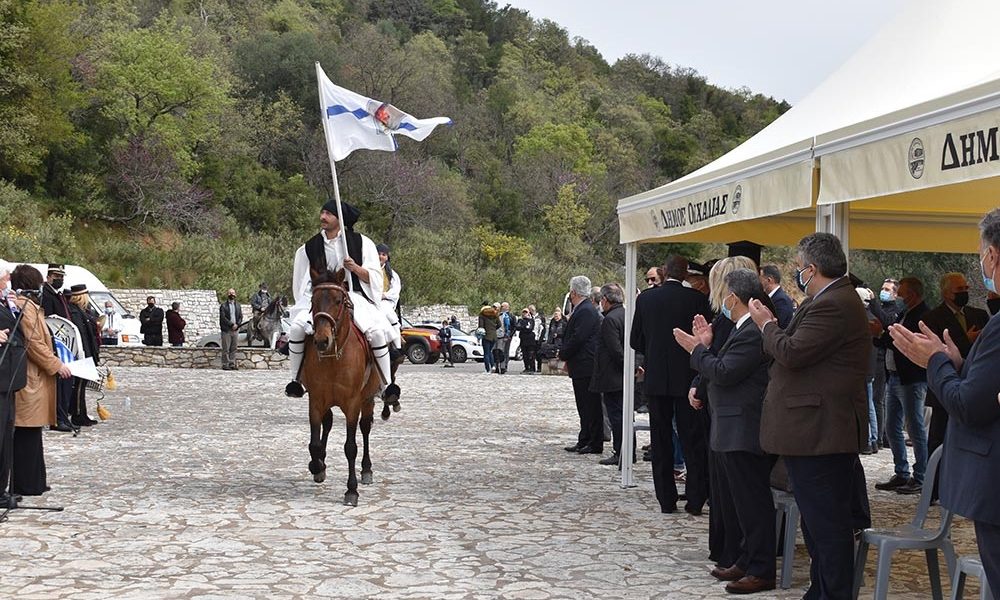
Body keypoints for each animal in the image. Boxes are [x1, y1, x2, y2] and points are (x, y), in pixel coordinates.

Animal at [300, 268, 386, 506]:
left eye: (338, 300)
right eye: (313, 301)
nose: (322, 340)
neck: (333, 358)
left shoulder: (352, 404)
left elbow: (350, 447)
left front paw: (351, 490)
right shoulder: (316, 401)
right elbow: (314, 443)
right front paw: (317, 465)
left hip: (367, 400)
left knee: (365, 429)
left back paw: (366, 470)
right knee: (327, 424)